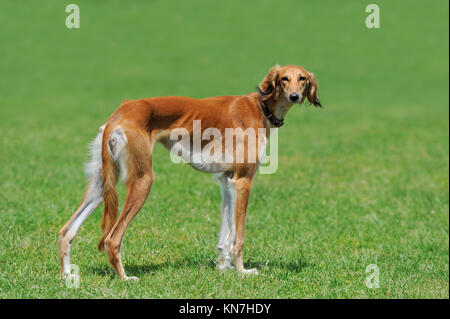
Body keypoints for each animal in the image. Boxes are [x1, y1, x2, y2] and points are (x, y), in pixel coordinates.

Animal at [58, 64, 322, 280]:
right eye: (284, 79)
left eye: (302, 78)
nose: (295, 96)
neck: (260, 107)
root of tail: (120, 113)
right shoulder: (243, 181)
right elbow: (238, 236)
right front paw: (242, 271)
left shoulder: (227, 181)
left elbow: (225, 234)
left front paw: (224, 268)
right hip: (143, 179)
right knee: (112, 239)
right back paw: (124, 278)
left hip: (101, 184)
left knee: (66, 231)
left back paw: (67, 274)